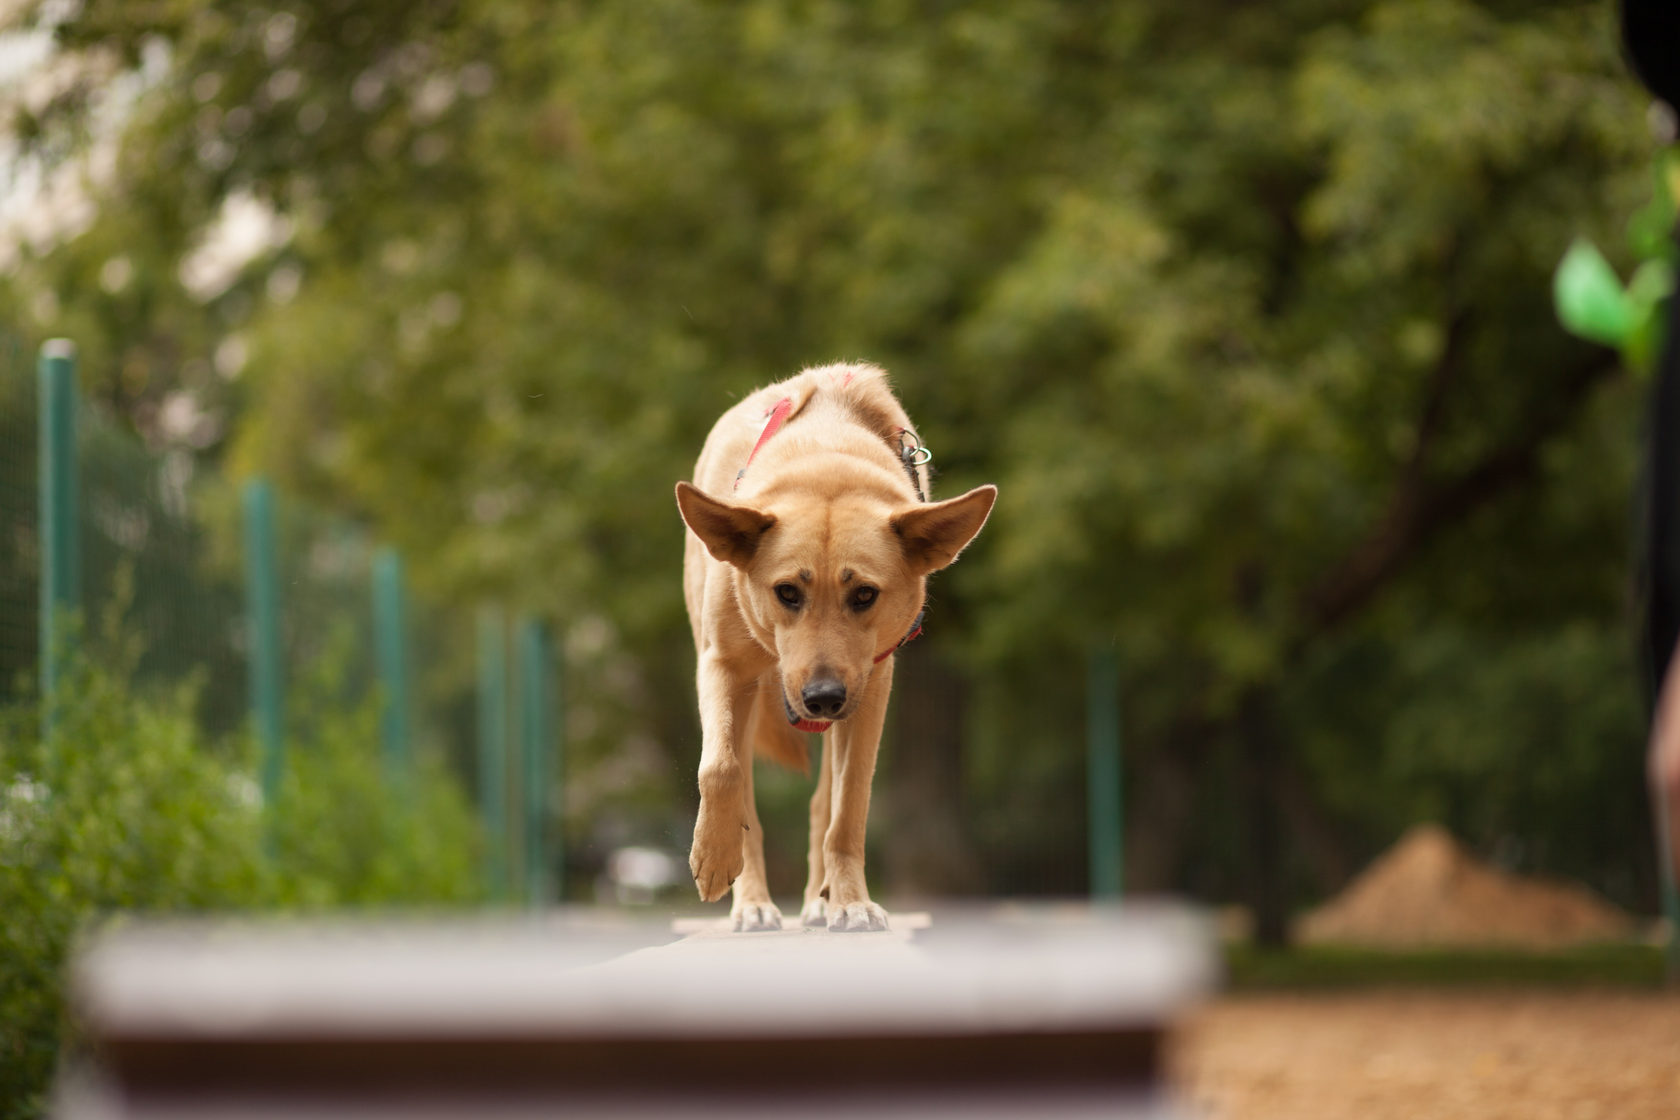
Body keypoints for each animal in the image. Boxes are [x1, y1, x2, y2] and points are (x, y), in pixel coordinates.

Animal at [672, 364, 987, 933]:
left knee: (824, 802)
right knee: (747, 792)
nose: (821, 697)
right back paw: (752, 903)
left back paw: (821, 900)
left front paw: (850, 902)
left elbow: (848, 809)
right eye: (786, 592)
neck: (825, 458)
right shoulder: (722, 666)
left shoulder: (872, 687)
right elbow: (721, 769)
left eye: (863, 594)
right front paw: (713, 859)